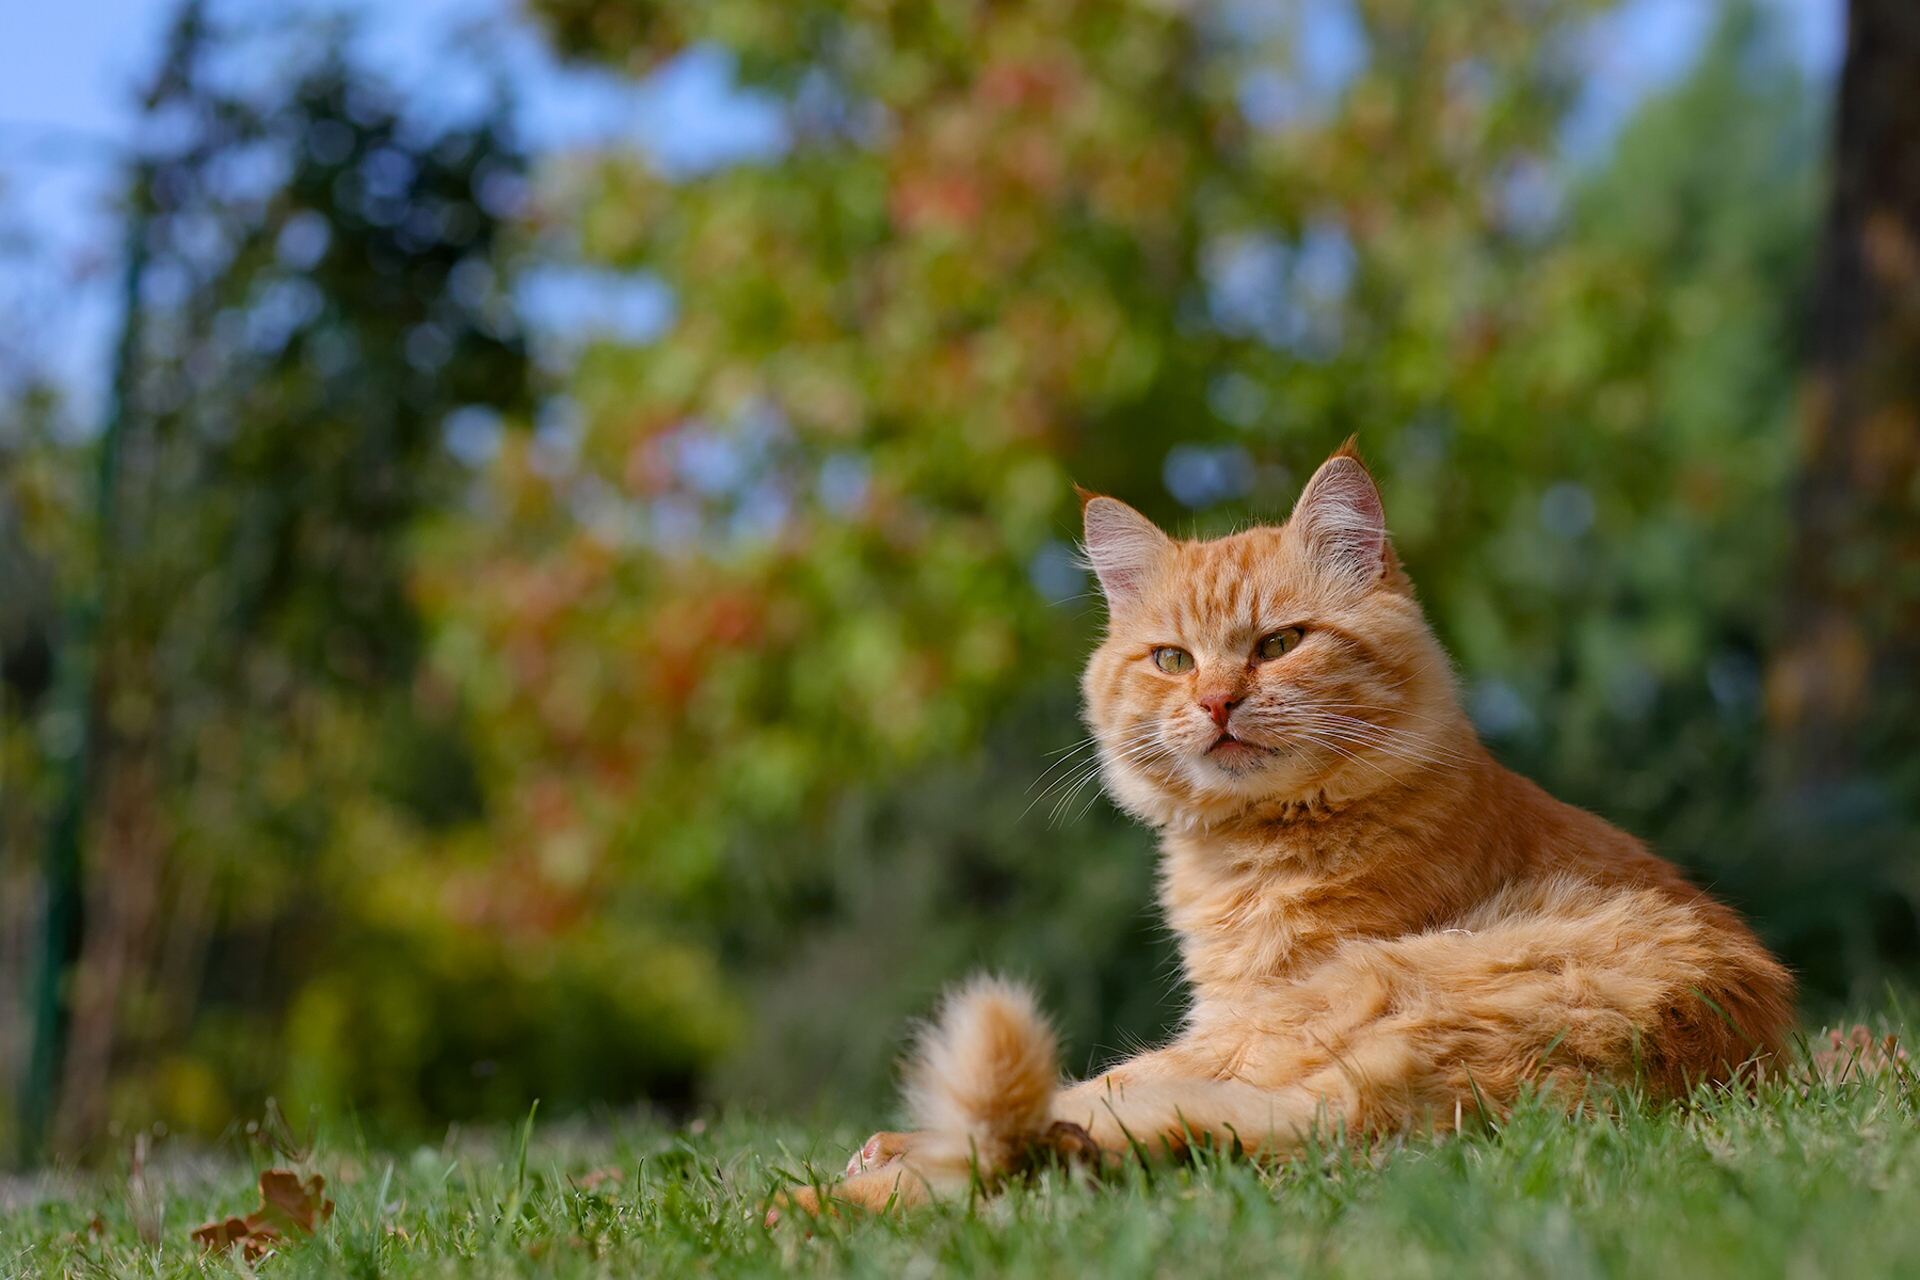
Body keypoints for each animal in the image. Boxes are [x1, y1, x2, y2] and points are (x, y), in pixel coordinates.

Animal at [771, 443, 1789, 1220]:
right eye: (1172, 660)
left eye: (1278, 645)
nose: (1218, 701)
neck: (1258, 840)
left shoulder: (1230, 1017)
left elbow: (1089, 1090)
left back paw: (816, 1199)